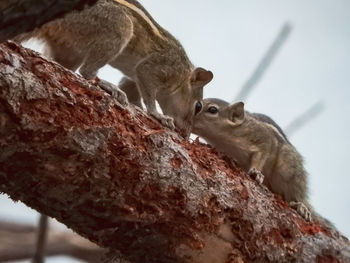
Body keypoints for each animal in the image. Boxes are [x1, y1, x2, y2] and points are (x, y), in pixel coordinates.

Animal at [13, 0, 212, 136]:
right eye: (198, 106)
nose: (185, 135)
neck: (184, 74)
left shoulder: (134, 77)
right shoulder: (159, 67)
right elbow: (147, 85)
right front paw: (157, 114)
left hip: (69, 50)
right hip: (118, 26)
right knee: (87, 71)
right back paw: (109, 86)